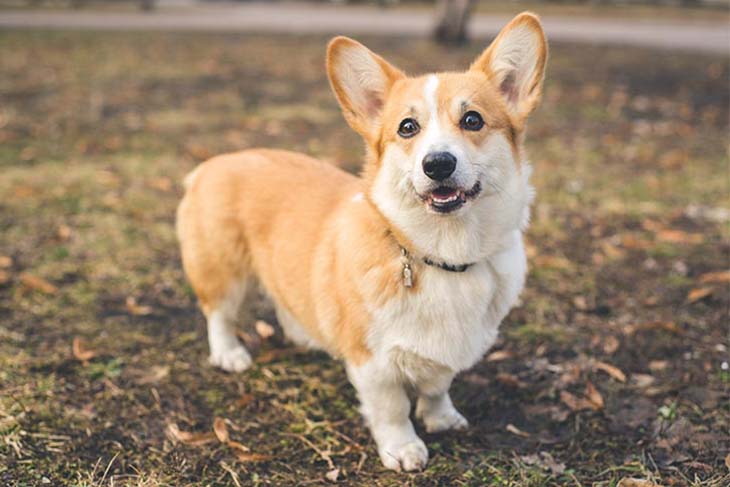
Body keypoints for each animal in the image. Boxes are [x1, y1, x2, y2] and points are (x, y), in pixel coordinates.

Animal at [178, 13, 544, 472]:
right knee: (219, 314)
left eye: (473, 120)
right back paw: (229, 354)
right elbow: (392, 409)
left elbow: (437, 386)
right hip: (224, 272)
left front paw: (442, 418)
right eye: (408, 127)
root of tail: (211, 164)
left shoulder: (447, 354)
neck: (443, 254)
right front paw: (403, 449)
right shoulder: (375, 364)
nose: (438, 164)